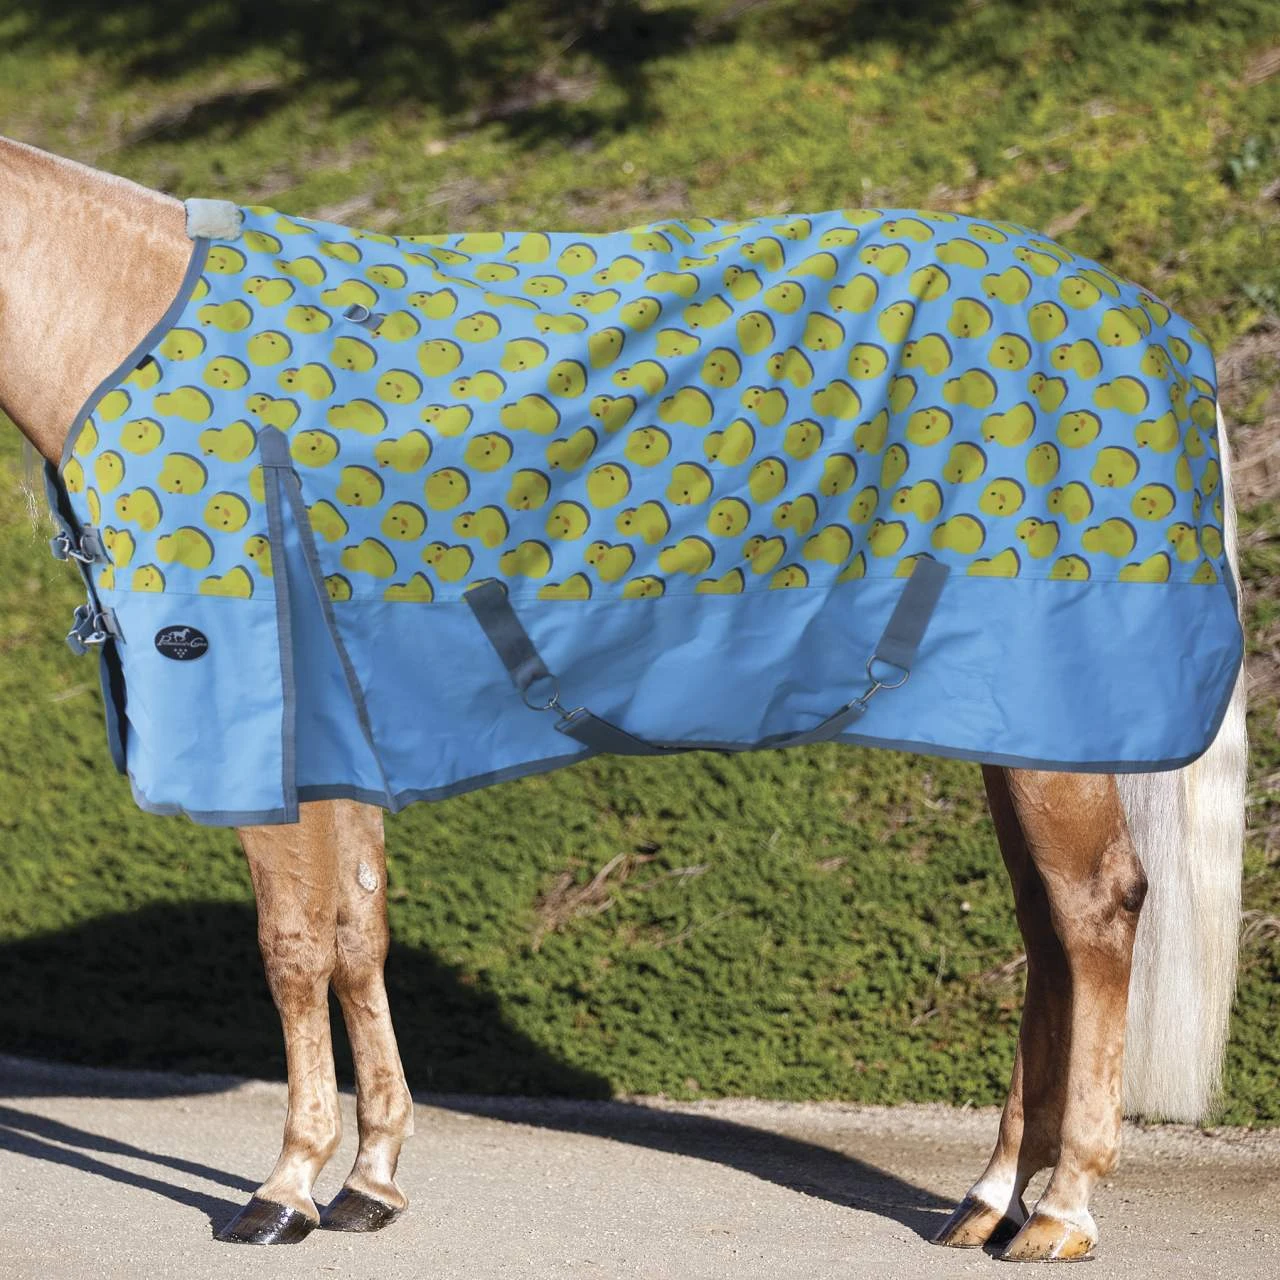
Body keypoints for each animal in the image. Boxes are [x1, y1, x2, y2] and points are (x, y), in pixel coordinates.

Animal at [0, 135, 1248, 1261]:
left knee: (1092, 913)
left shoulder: (259, 737)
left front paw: (284, 1189)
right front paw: (370, 1179)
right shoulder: (343, 738)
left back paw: (1061, 1210)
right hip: (1010, 722)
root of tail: (1157, 325)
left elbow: (294, 948)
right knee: (1047, 930)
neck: (122, 327)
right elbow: (356, 938)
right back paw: (988, 1200)